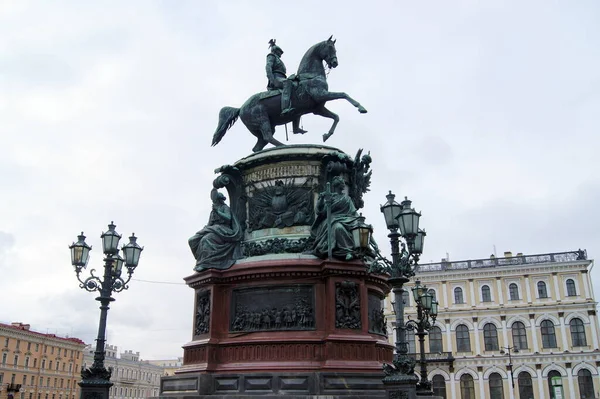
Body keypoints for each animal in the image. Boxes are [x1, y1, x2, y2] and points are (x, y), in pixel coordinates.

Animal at [213, 36, 368, 152]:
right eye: (329, 47)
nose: (335, 62)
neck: (310, 75)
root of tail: (241, 108)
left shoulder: (318, 108)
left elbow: (336, 117)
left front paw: (327, 135)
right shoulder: (321, 95)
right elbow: (344, 94)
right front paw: (361, 108)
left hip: (264, 126)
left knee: (258, 146)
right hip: (262, 120)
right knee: (268, 137)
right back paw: (284, 147)